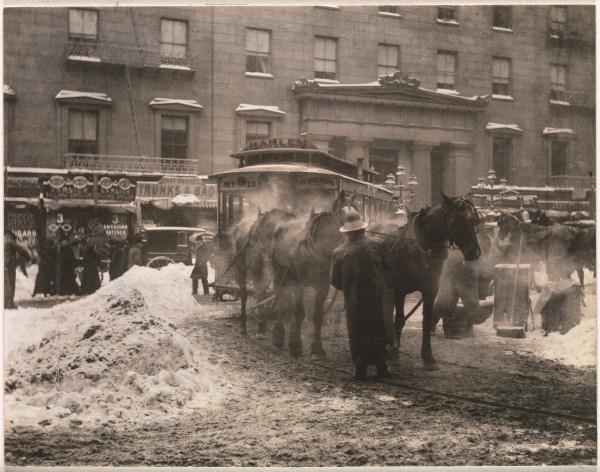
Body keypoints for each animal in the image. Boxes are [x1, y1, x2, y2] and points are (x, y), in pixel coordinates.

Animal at [230, 207, 296, 336]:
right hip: (240, 267)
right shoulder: (257, 270)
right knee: (244, 293)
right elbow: (260, 294)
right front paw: (260, 329)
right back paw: (244, 325)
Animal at [270, 190, 356, 360]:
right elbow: (299, 312)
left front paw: (317, 348)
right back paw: (278, 335)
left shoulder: (322, 286)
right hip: (280, 275)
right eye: (346, 216)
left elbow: (317, 315)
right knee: (281, 300)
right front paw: (295, 345)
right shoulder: (299, 284)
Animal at [368, 194, 480, 370]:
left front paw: (428, 358)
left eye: (474, 220)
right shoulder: (400, 291)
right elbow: (399, 320)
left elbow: (427, 321)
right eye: (457, 219)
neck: (423, 248)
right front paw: (395, 355)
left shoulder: (430, 290)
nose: (474, 252)